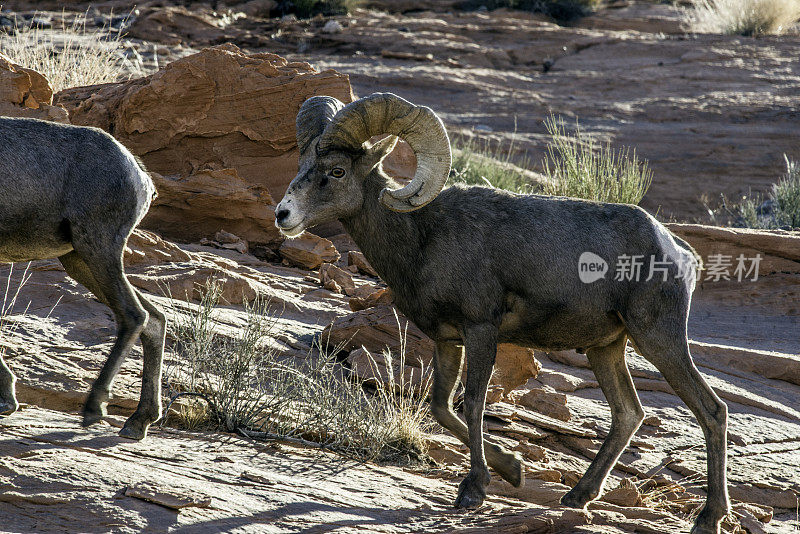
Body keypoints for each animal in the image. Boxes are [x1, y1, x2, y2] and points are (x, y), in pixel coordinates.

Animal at [0, 117, 166, 440]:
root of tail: (140, 176)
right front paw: (7, 401)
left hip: (97, 248)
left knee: (134, 315)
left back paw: (94, 408)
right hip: (79, 261)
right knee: (154, 319)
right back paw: (138, 422)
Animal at [276, 94, 732, 532]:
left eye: (336, 171)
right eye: (302, 165)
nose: (283, 215)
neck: (421, 238)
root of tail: (678, 252)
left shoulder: (481, 330)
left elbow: (473, 404)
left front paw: (473, 490)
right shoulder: (447, 340)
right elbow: (442, 408)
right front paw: (513, 470)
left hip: (658, 338)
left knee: (711, 411)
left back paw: (708, 518)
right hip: (605, 349)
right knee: (628, 414)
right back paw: (578, 497)